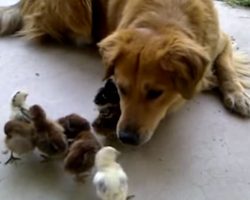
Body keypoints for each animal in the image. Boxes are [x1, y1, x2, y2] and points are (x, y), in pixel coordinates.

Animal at [0, 0, 250, 145]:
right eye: (121, 88)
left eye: (155, 93)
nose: (127, 138)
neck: (163, 19)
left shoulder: (219, 40)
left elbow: (226, 64)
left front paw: (237, 93)